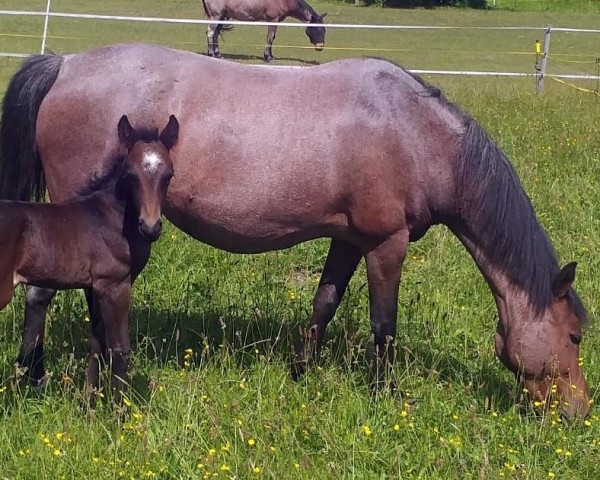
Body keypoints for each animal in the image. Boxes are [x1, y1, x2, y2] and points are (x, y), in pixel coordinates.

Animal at [1, 113, 178, 402]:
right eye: (130, 175)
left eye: (169, 175)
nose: (150, 227)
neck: (113, 218)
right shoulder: (116, 285)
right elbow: (119, 347)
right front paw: (120, 408)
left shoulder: (95, 286)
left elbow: (96, 341)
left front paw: (89, 402)